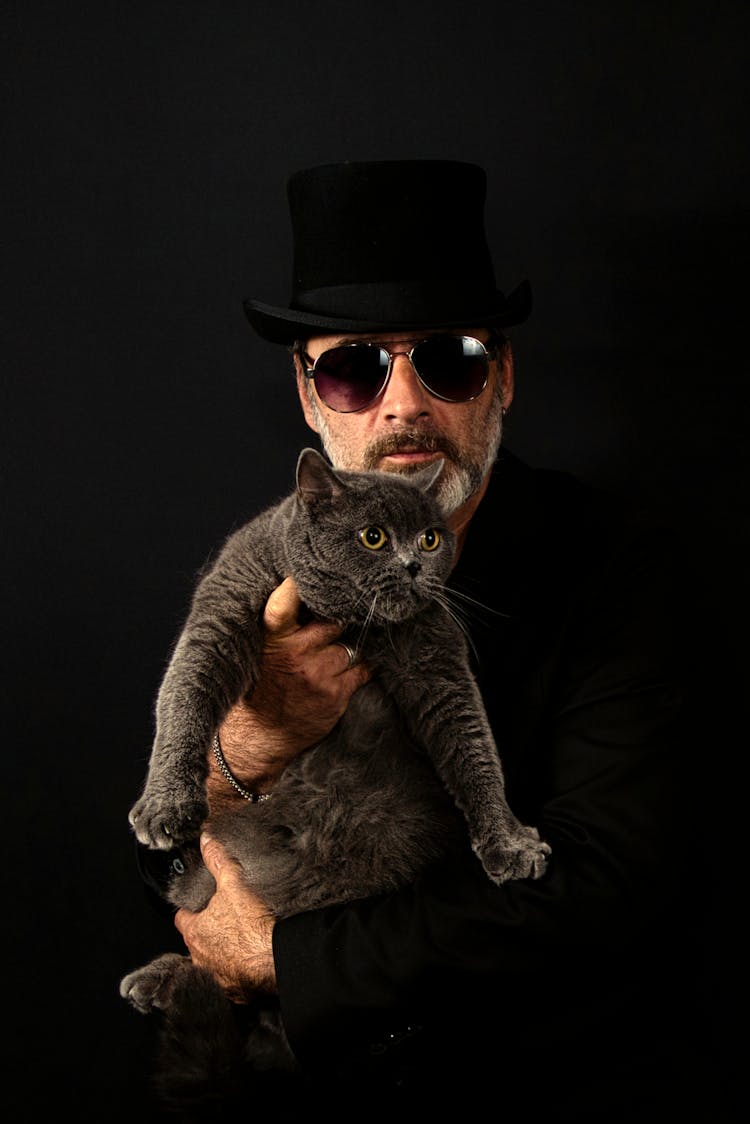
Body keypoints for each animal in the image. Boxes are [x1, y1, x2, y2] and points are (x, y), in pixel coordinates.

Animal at [120, 449, 548, 1115]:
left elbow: (474, 745)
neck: (342, 620)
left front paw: (509, 842)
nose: (413, 563)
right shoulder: (228, 601)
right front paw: (166, 806)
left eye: (431, 537)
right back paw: (158, 978)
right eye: (373, 537)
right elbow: (186, 690)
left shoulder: (435, 652)